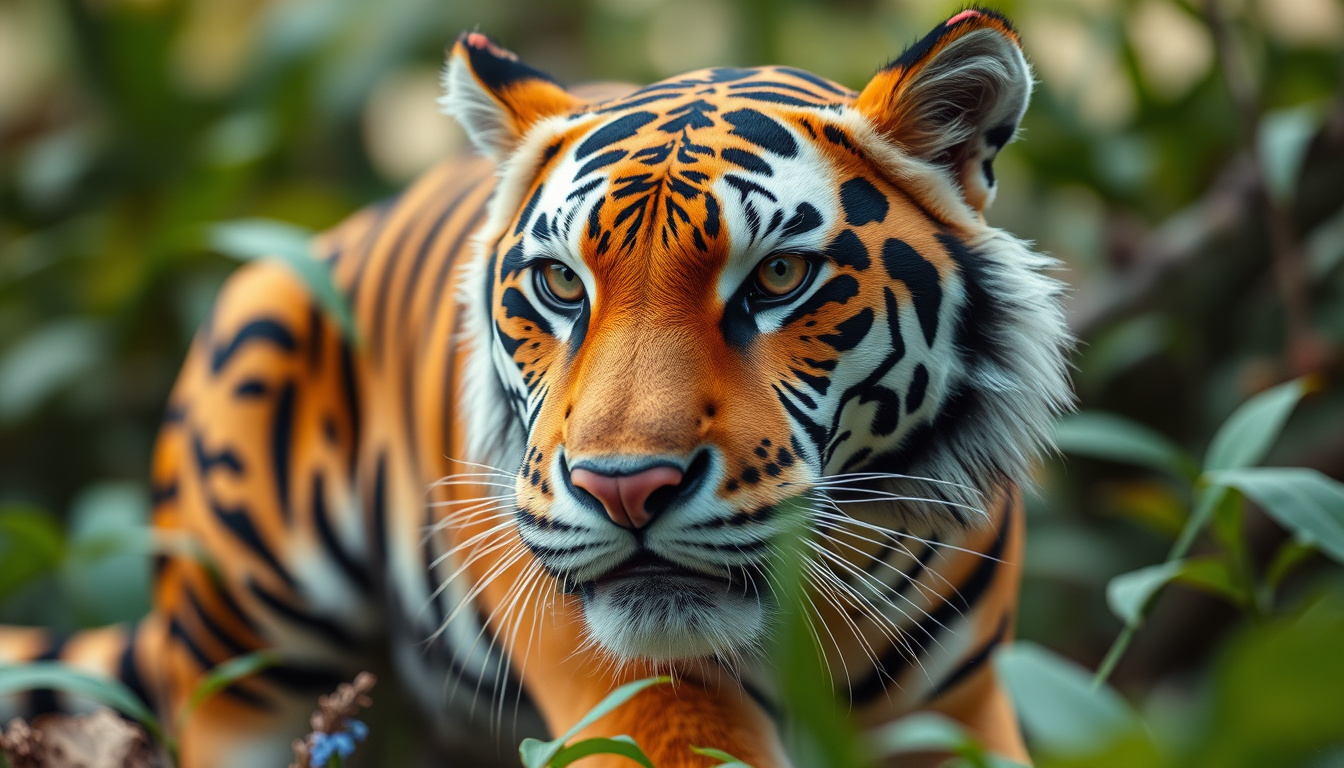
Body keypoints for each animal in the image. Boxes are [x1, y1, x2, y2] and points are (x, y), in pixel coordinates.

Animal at [0, 8, 1071, 768]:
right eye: (561, 285)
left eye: (776, 278)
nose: (625, 490)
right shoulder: (626, 683)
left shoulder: (954, 707)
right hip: (239, 638)